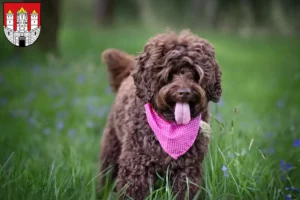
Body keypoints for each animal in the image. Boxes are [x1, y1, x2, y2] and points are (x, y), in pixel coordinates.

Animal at [99, 30, 221, 200]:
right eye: (169, 73)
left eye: (195, 73)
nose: (184, 92)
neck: (170, 126)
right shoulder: (136, 166)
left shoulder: (187, 170)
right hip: (112, 146)